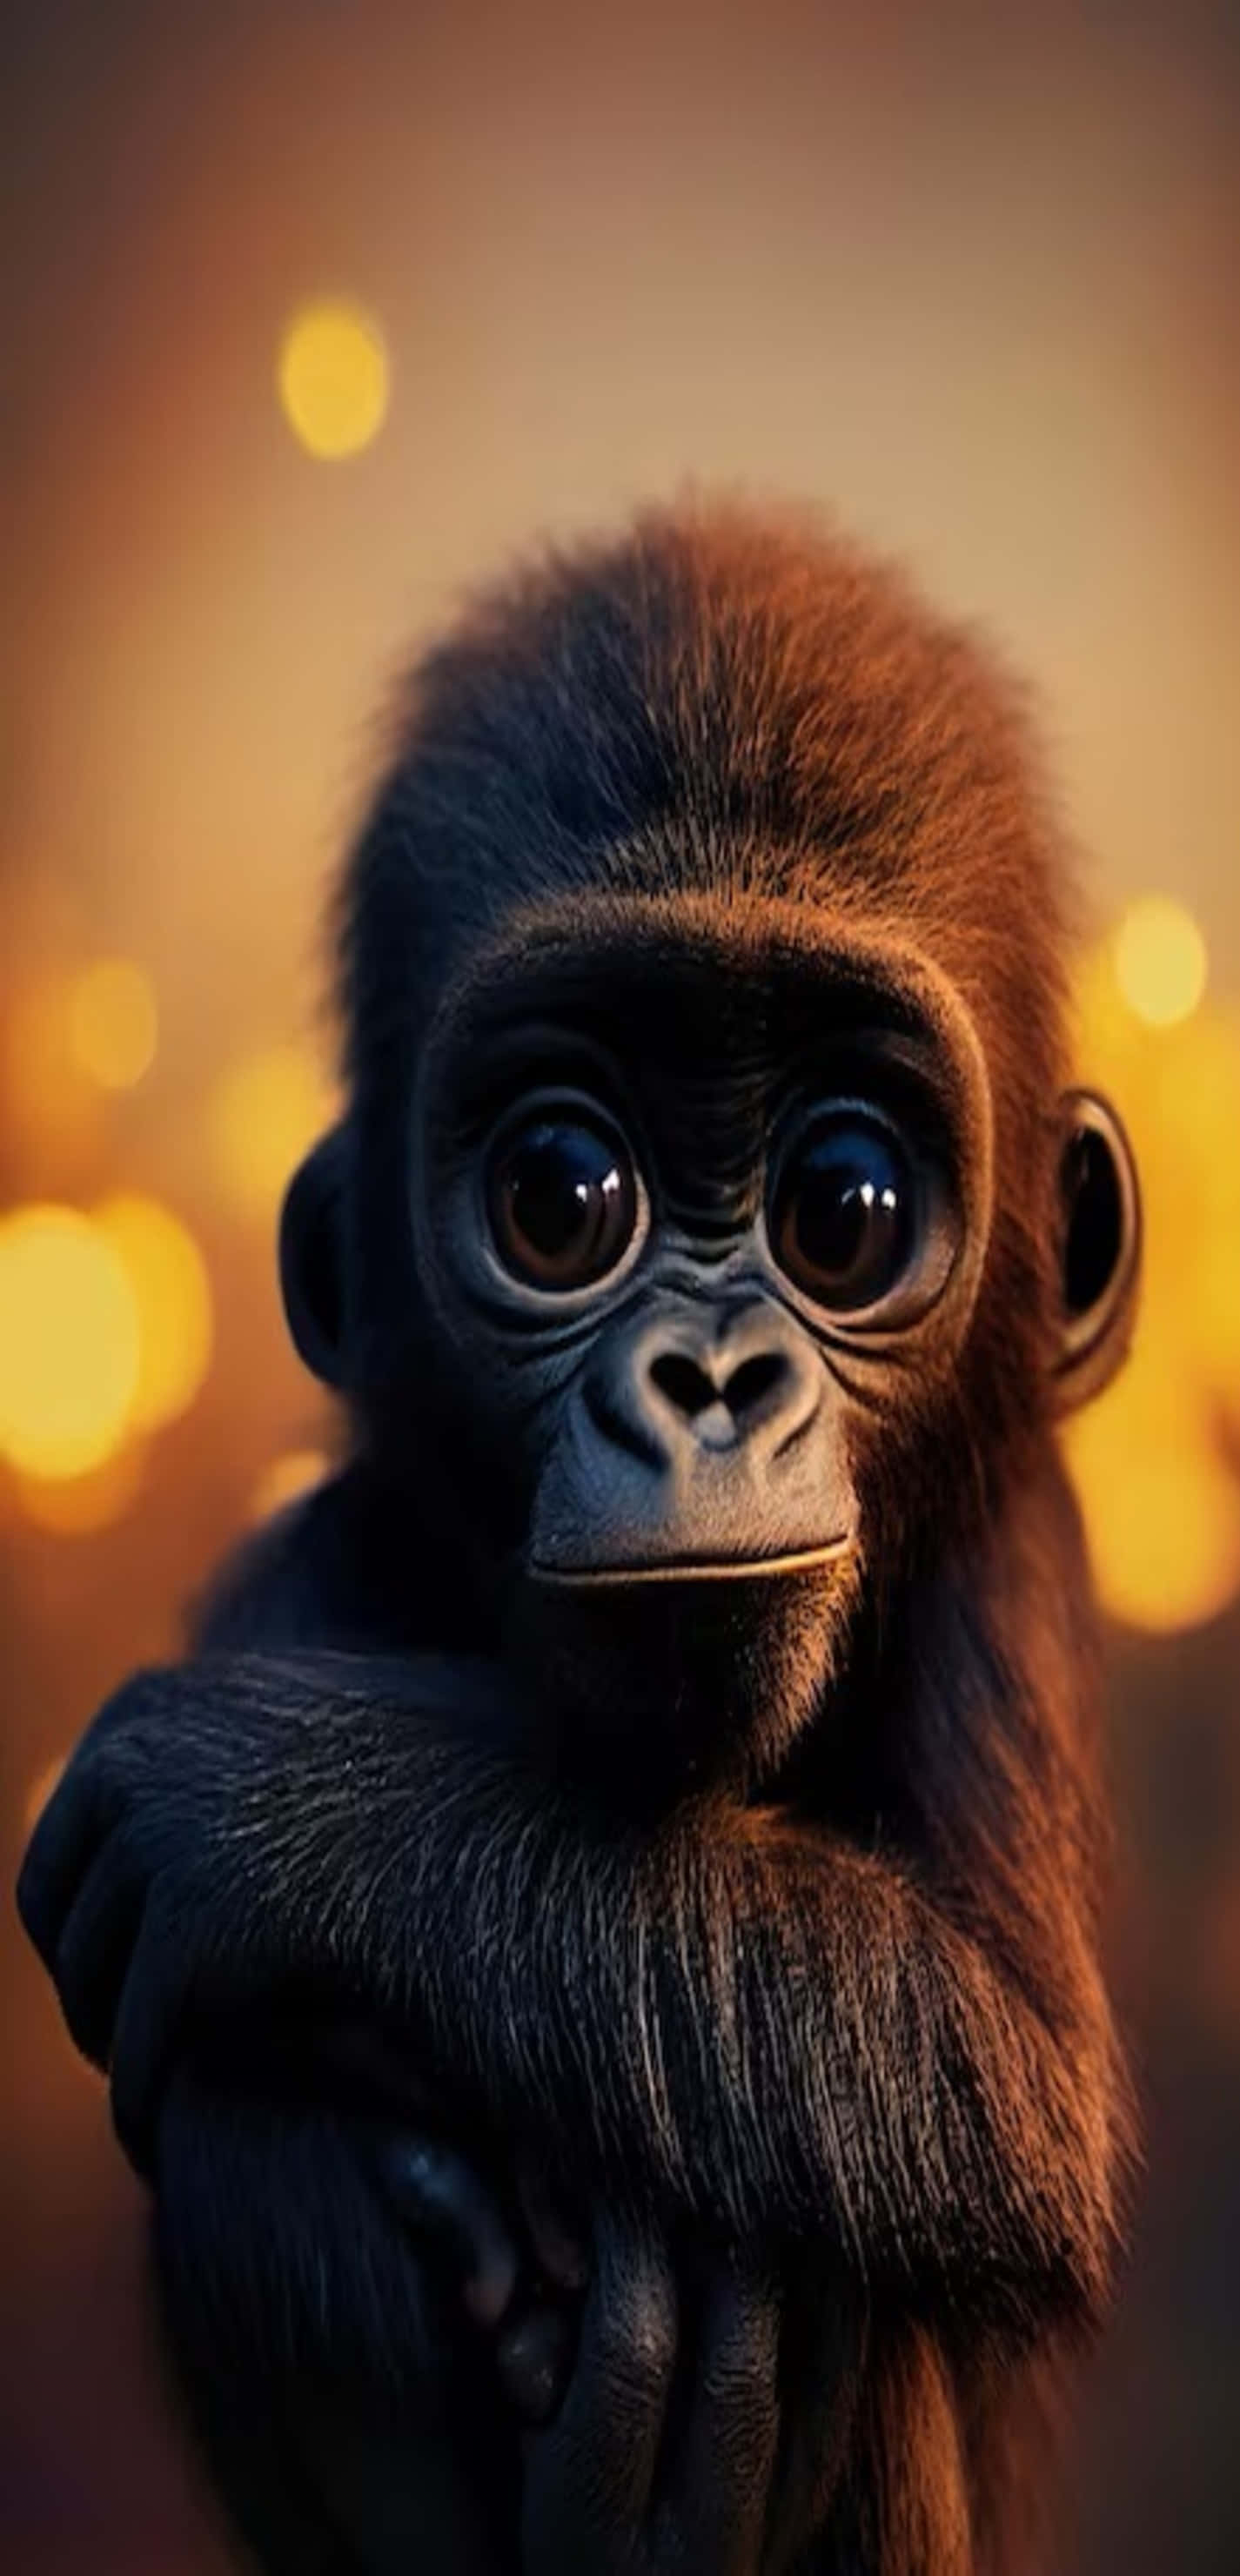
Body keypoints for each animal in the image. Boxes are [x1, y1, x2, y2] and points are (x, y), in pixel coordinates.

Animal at [19, 502, 1140, 2575]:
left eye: (846, 1208)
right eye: (563, 1197)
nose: (706, 1384)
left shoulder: (1013, 1566)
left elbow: (1000, 2076)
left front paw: (273, 1810)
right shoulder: (295, 1555)